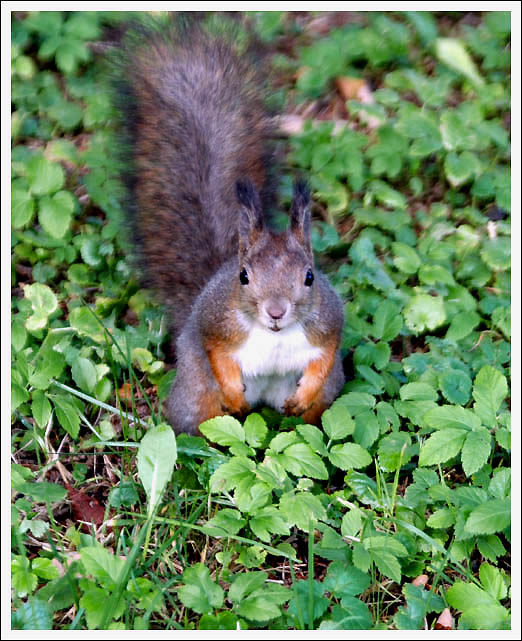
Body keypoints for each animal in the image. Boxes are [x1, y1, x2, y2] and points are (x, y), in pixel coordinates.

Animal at [114, 16, 344, 436]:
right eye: (243, 277)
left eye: (309, 277)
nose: (276, 312)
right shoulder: (215, 321)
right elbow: (216, 353)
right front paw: (234, 395)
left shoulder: (329, 320)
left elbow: (326, 355)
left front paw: (304, 393)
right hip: (195, 394)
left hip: (325, 402)